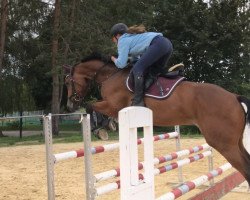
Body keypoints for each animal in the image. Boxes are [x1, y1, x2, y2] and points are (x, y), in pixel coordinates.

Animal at [65, 52, 250, 184]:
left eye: (67, 82)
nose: (69, 106)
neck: (111, 75)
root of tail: (234, 97)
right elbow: (95, 109)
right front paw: (109, 124)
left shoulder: (113, 105)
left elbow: (90, 106)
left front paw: (100, 129)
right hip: (235, 142)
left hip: (223, 143)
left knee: (245, 168)